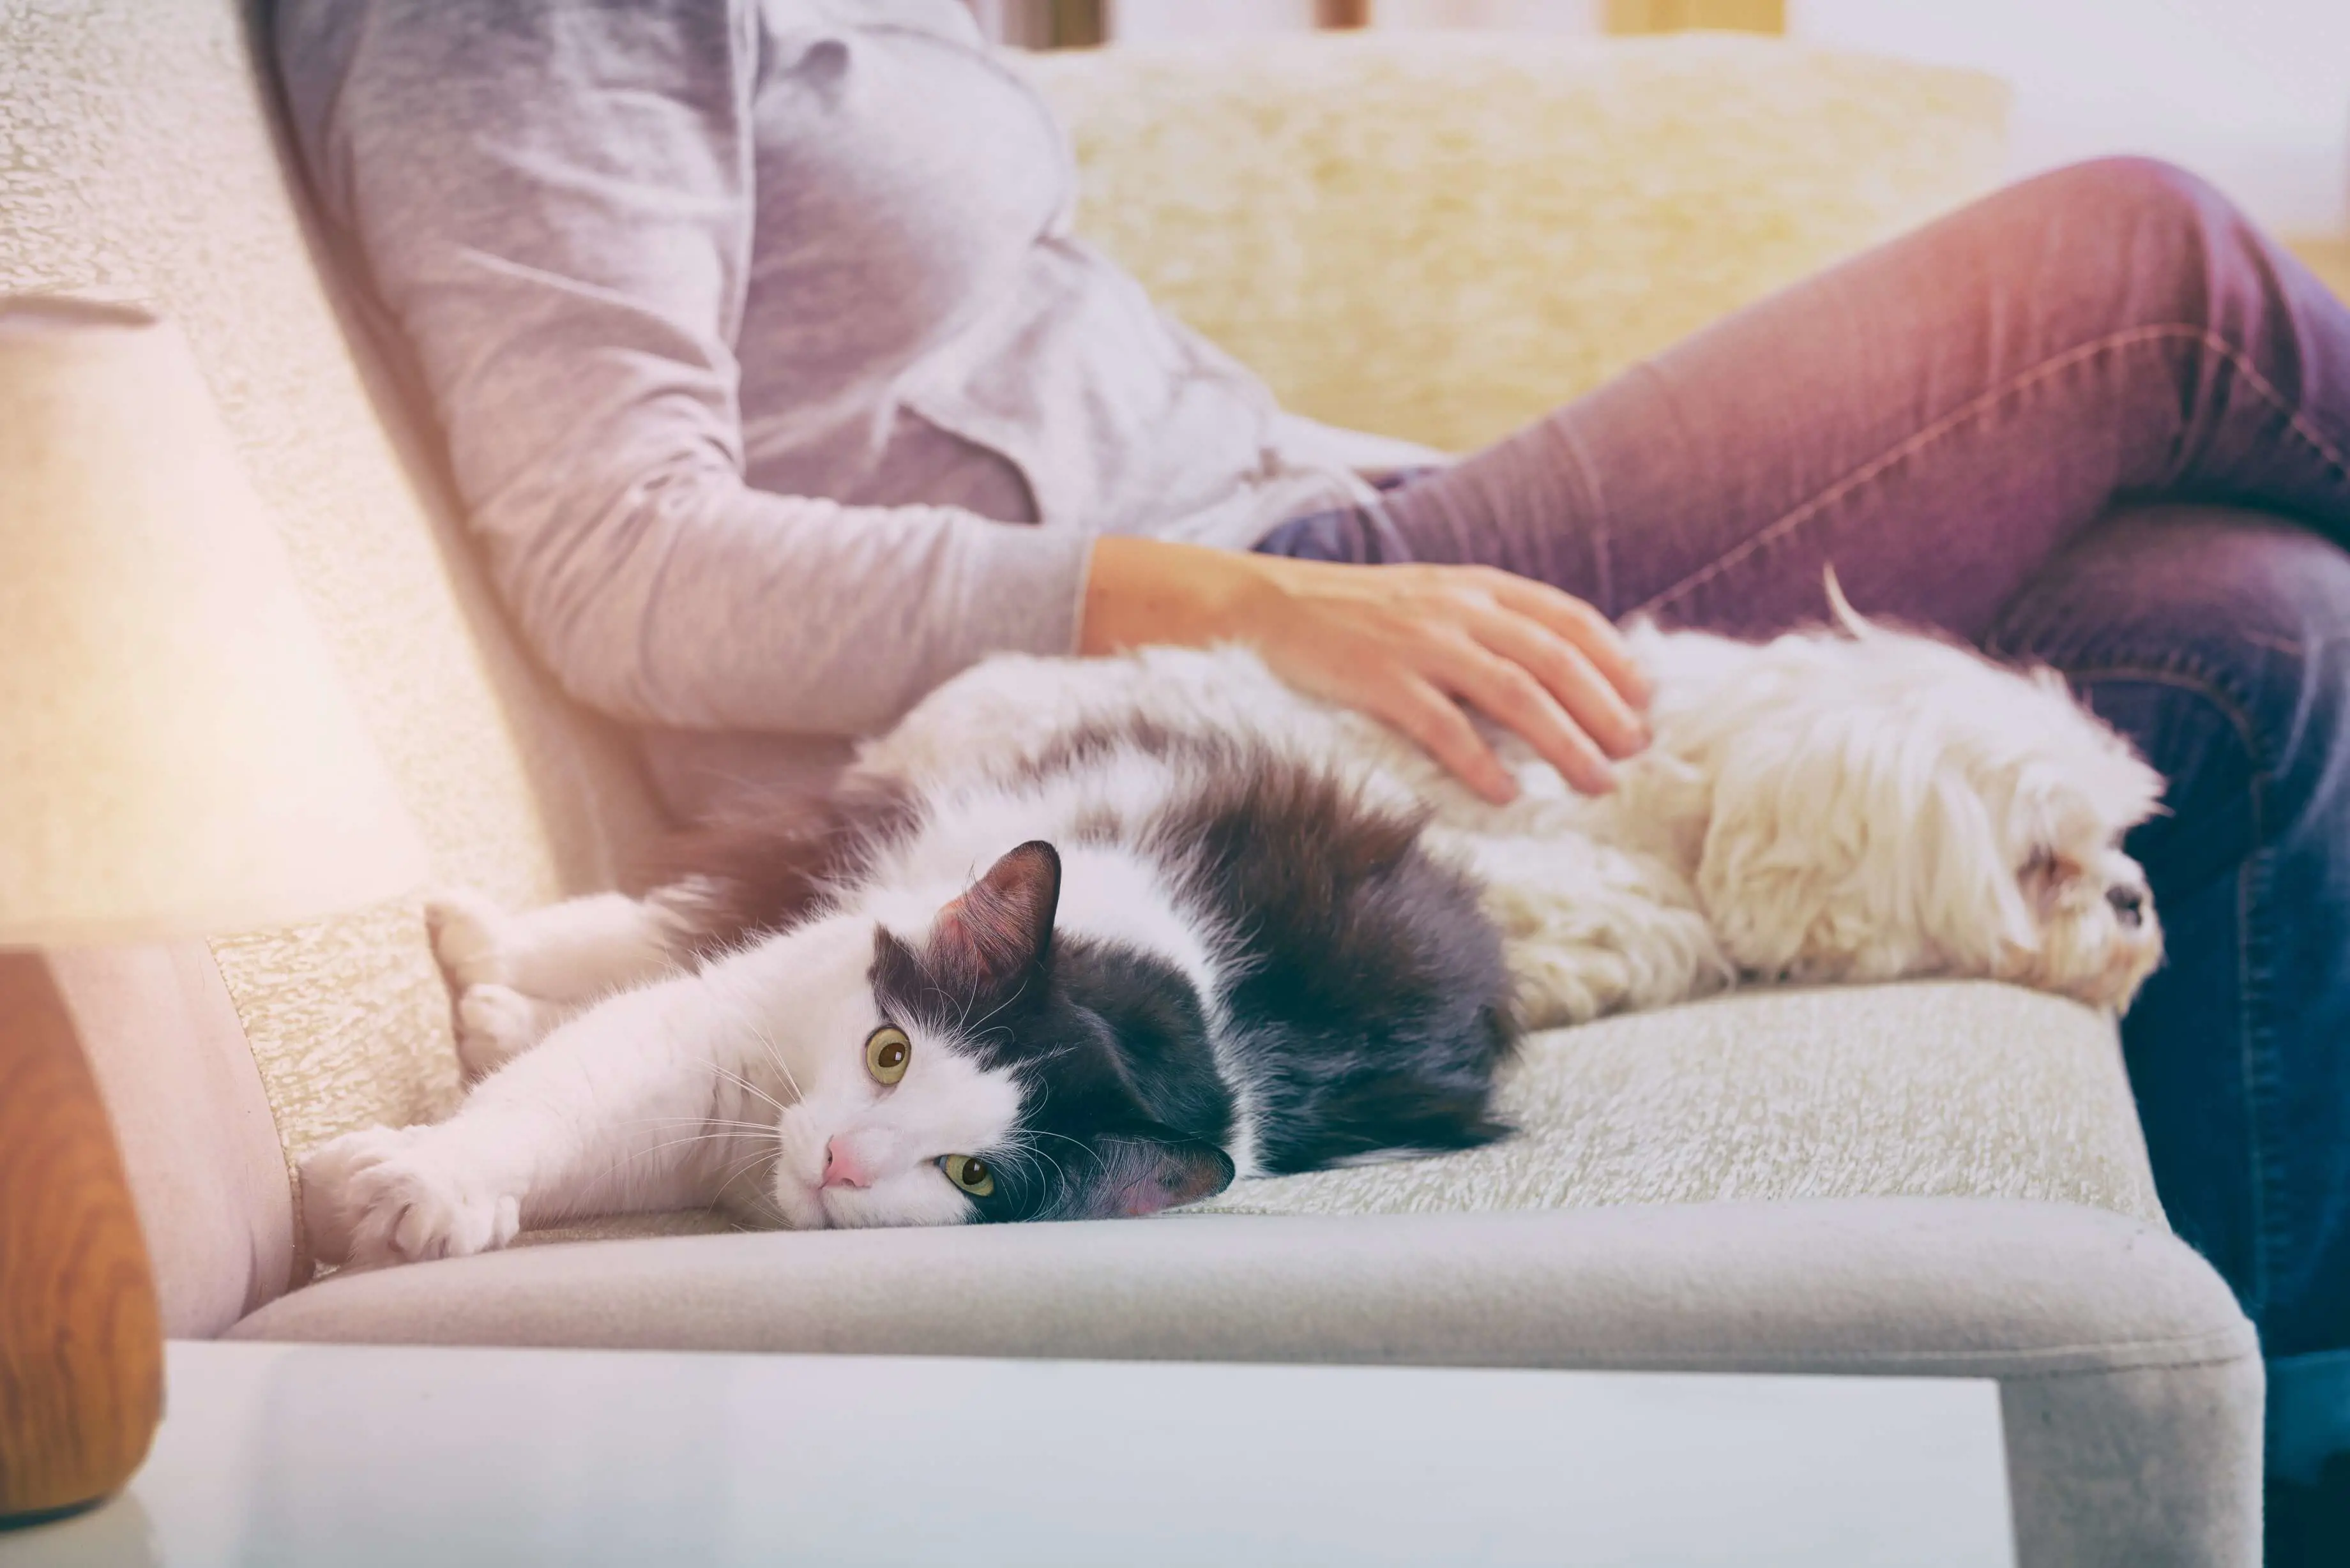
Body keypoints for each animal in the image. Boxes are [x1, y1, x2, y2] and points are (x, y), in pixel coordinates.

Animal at [303, 594, 2152, 1269]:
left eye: (2128, 842)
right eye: (2048, 860)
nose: (2140, 908)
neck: (1693, 773)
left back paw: (491, 982)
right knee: (671, 925)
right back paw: (489, 978)